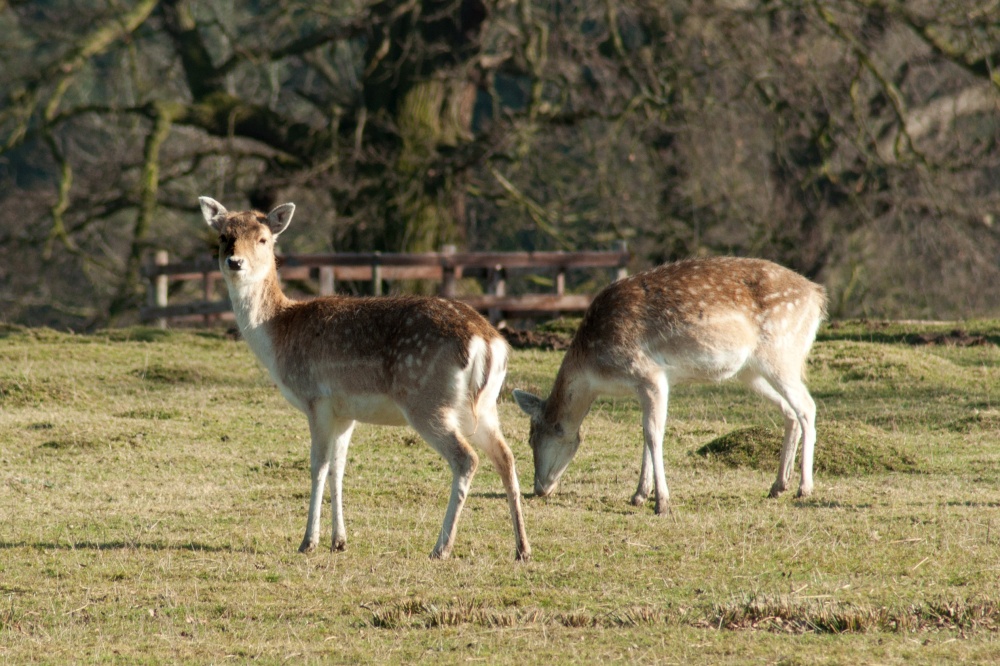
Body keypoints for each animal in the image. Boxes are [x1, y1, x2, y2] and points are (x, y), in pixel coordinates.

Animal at [197, 197, 532, 560]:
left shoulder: (317, 398)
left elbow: (318, 466)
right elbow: (338, 469)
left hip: (427, 401)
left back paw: (441, 547)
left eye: (263, 239)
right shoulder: (345, 411)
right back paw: (522, 548)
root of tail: (488, 342)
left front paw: (308, 542)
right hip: (484, 406)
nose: (235, 261)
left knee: (466, 458)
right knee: (506, 456)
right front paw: (339, 541)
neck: (278, 334)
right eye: (224, 237)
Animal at [512, 256, 824, 510]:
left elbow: (653, 433)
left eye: (532, 437)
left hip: (781, 354)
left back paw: (804, 488)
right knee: (789, 410)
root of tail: (818, 297)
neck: (595, 368)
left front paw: (660, 502)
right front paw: (639, 495)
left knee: (807, 406)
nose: (539, 488)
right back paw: (778, 485)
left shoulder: (648, 374)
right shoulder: (646, 385)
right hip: (752, 371)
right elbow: (645, 433)